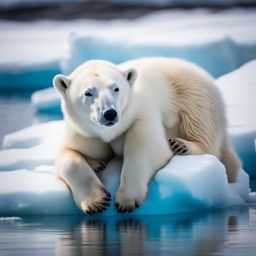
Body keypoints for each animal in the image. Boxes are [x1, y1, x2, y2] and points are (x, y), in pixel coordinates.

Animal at [53, 57, 241, 214]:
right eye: (88, 92)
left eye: (116, 88)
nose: (110, 113)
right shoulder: (84, 133)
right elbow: (68, 157)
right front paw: (96, 201)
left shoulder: (141, 114)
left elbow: (146, 148)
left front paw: (127, 199)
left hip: (193, 92)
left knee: (201, 124)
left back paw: (182, 145)